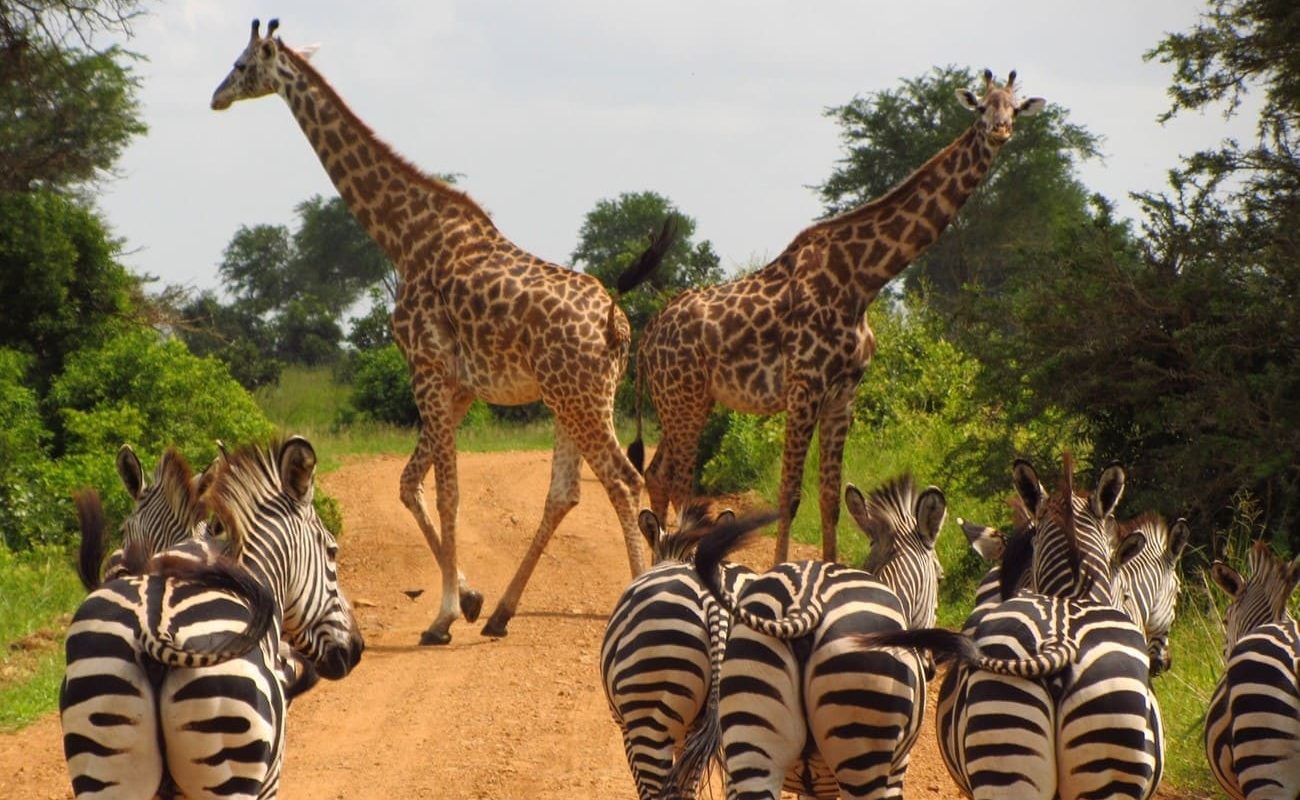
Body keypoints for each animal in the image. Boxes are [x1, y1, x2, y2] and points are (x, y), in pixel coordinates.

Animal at [211, 19, 676, 645]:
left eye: (241, 65)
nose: (216, 97)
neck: (404, 236)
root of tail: (616, 321)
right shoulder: (458, 387)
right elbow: (410, 482)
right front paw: (470, 599)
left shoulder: (427, 368)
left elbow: (447, 492)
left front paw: (444, 616)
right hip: (572, 398)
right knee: (567, 492)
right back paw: (501, 613)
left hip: (578, 398)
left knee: (623, 481)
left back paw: (632, 595)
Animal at [630, 69, 1044, 564]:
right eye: (982, 106)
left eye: (1014, 107)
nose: (1000, 130)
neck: (862, 281)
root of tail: (647, 337)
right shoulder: (803, 387)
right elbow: (789, 493)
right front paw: (779, 569)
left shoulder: (843, 394)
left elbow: (830, 495)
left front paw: (831, 570)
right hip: (684, 398)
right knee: (677, 479)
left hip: (687, 398)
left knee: (657, 473)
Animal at [691, 475, 946, 799]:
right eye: (940, 577)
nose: (931, 667)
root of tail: (806, 602)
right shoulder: (898, 767)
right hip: (862, 744)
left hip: (751, 737)